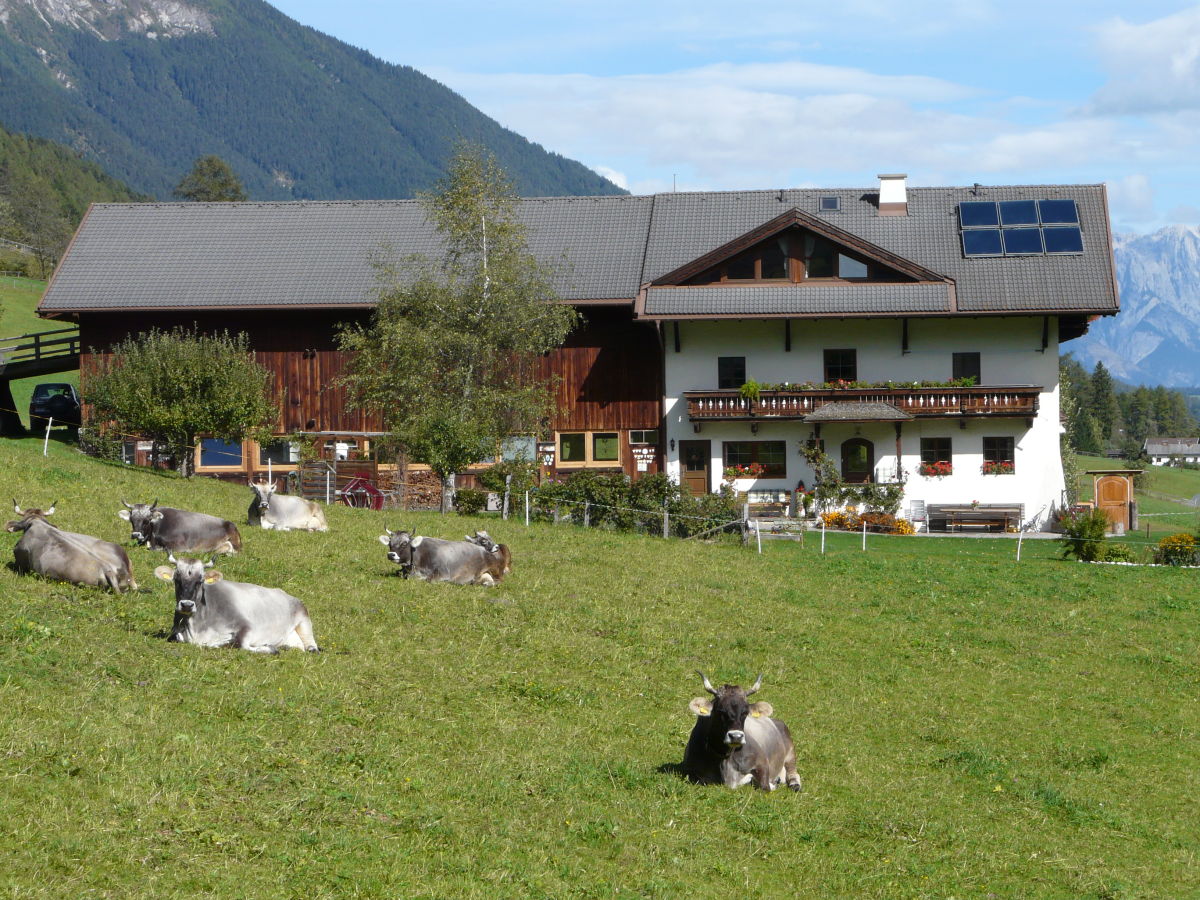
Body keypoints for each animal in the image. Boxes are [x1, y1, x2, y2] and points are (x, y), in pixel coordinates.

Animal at [157, 556, 321, 657]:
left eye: (200, 581)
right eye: (177, 580)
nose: (186, 605)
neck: (197, 627)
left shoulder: (246, 625)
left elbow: (241, 644)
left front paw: (269, 648)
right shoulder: (176, 633)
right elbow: (176, 638)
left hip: (304, 619)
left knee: (311, 646)